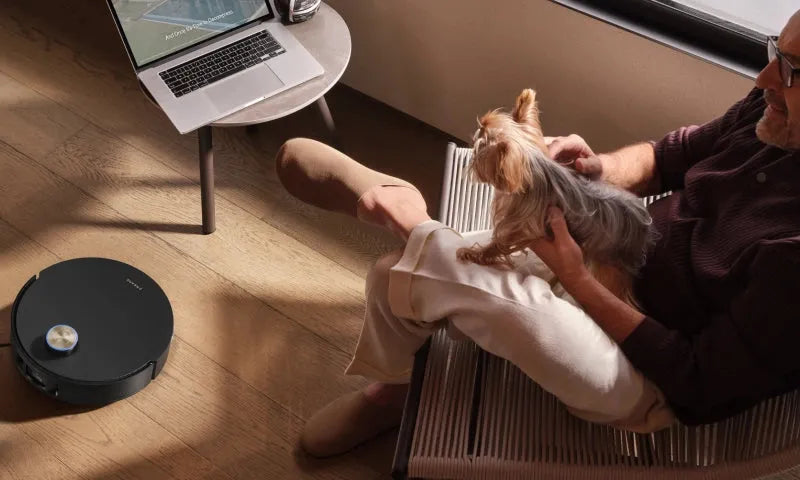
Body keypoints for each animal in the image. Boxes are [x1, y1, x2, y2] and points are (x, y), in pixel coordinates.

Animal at [457, 89, 656, 306]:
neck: (533, 168)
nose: (473, 136)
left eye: (481, 149)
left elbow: (499, 242)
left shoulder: (522, 224)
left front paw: (474, 253)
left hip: (611, 262)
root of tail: (645, 224)